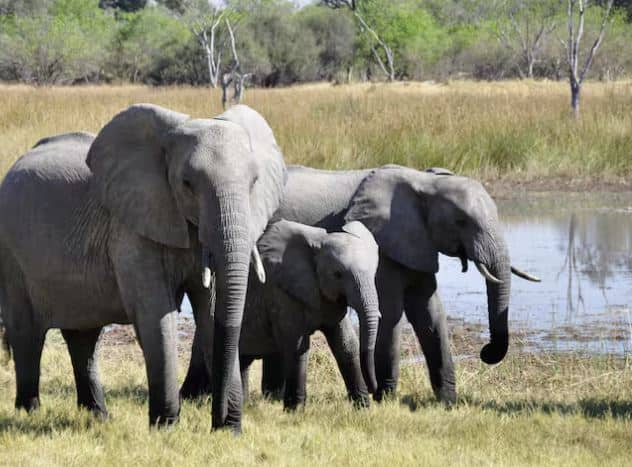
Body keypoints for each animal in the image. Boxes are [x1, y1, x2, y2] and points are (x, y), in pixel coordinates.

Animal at [0, 103, 284, 436]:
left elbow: (212, 310)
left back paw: (98, 416)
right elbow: (155, 312)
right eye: (187, 184)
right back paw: (29, 412)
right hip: (11, 256)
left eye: (254, 183)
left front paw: (229, 431)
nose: (219, 420)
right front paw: (165, 428)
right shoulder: (132, 228)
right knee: (27, 333)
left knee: (84, 338)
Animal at [236, 219, 380, 410]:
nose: (374, 390)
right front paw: (295, 411)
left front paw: (363, 409)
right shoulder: (281, 291)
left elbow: (346, 344)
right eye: (337, 274)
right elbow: (297, 346)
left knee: (243, 361)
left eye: (374, 273)